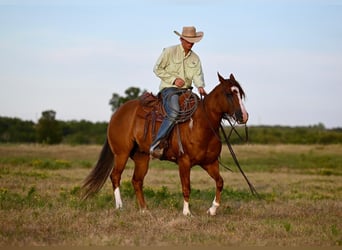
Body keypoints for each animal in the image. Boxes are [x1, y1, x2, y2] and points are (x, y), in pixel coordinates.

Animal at [83, 72, 248, 215]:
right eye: (229, 94)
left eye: (240, 93)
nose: (244, 116)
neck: (200, 124)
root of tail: (117, 113)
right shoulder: (184, 162)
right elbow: (186, 187)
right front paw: (187, 213)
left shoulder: (210, 162)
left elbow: (220, 182)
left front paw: (212, 210)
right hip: (121, 154)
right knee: (115, 176)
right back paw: (120, 207)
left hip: (141, 157)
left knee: (137, 181)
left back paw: (144, 210)